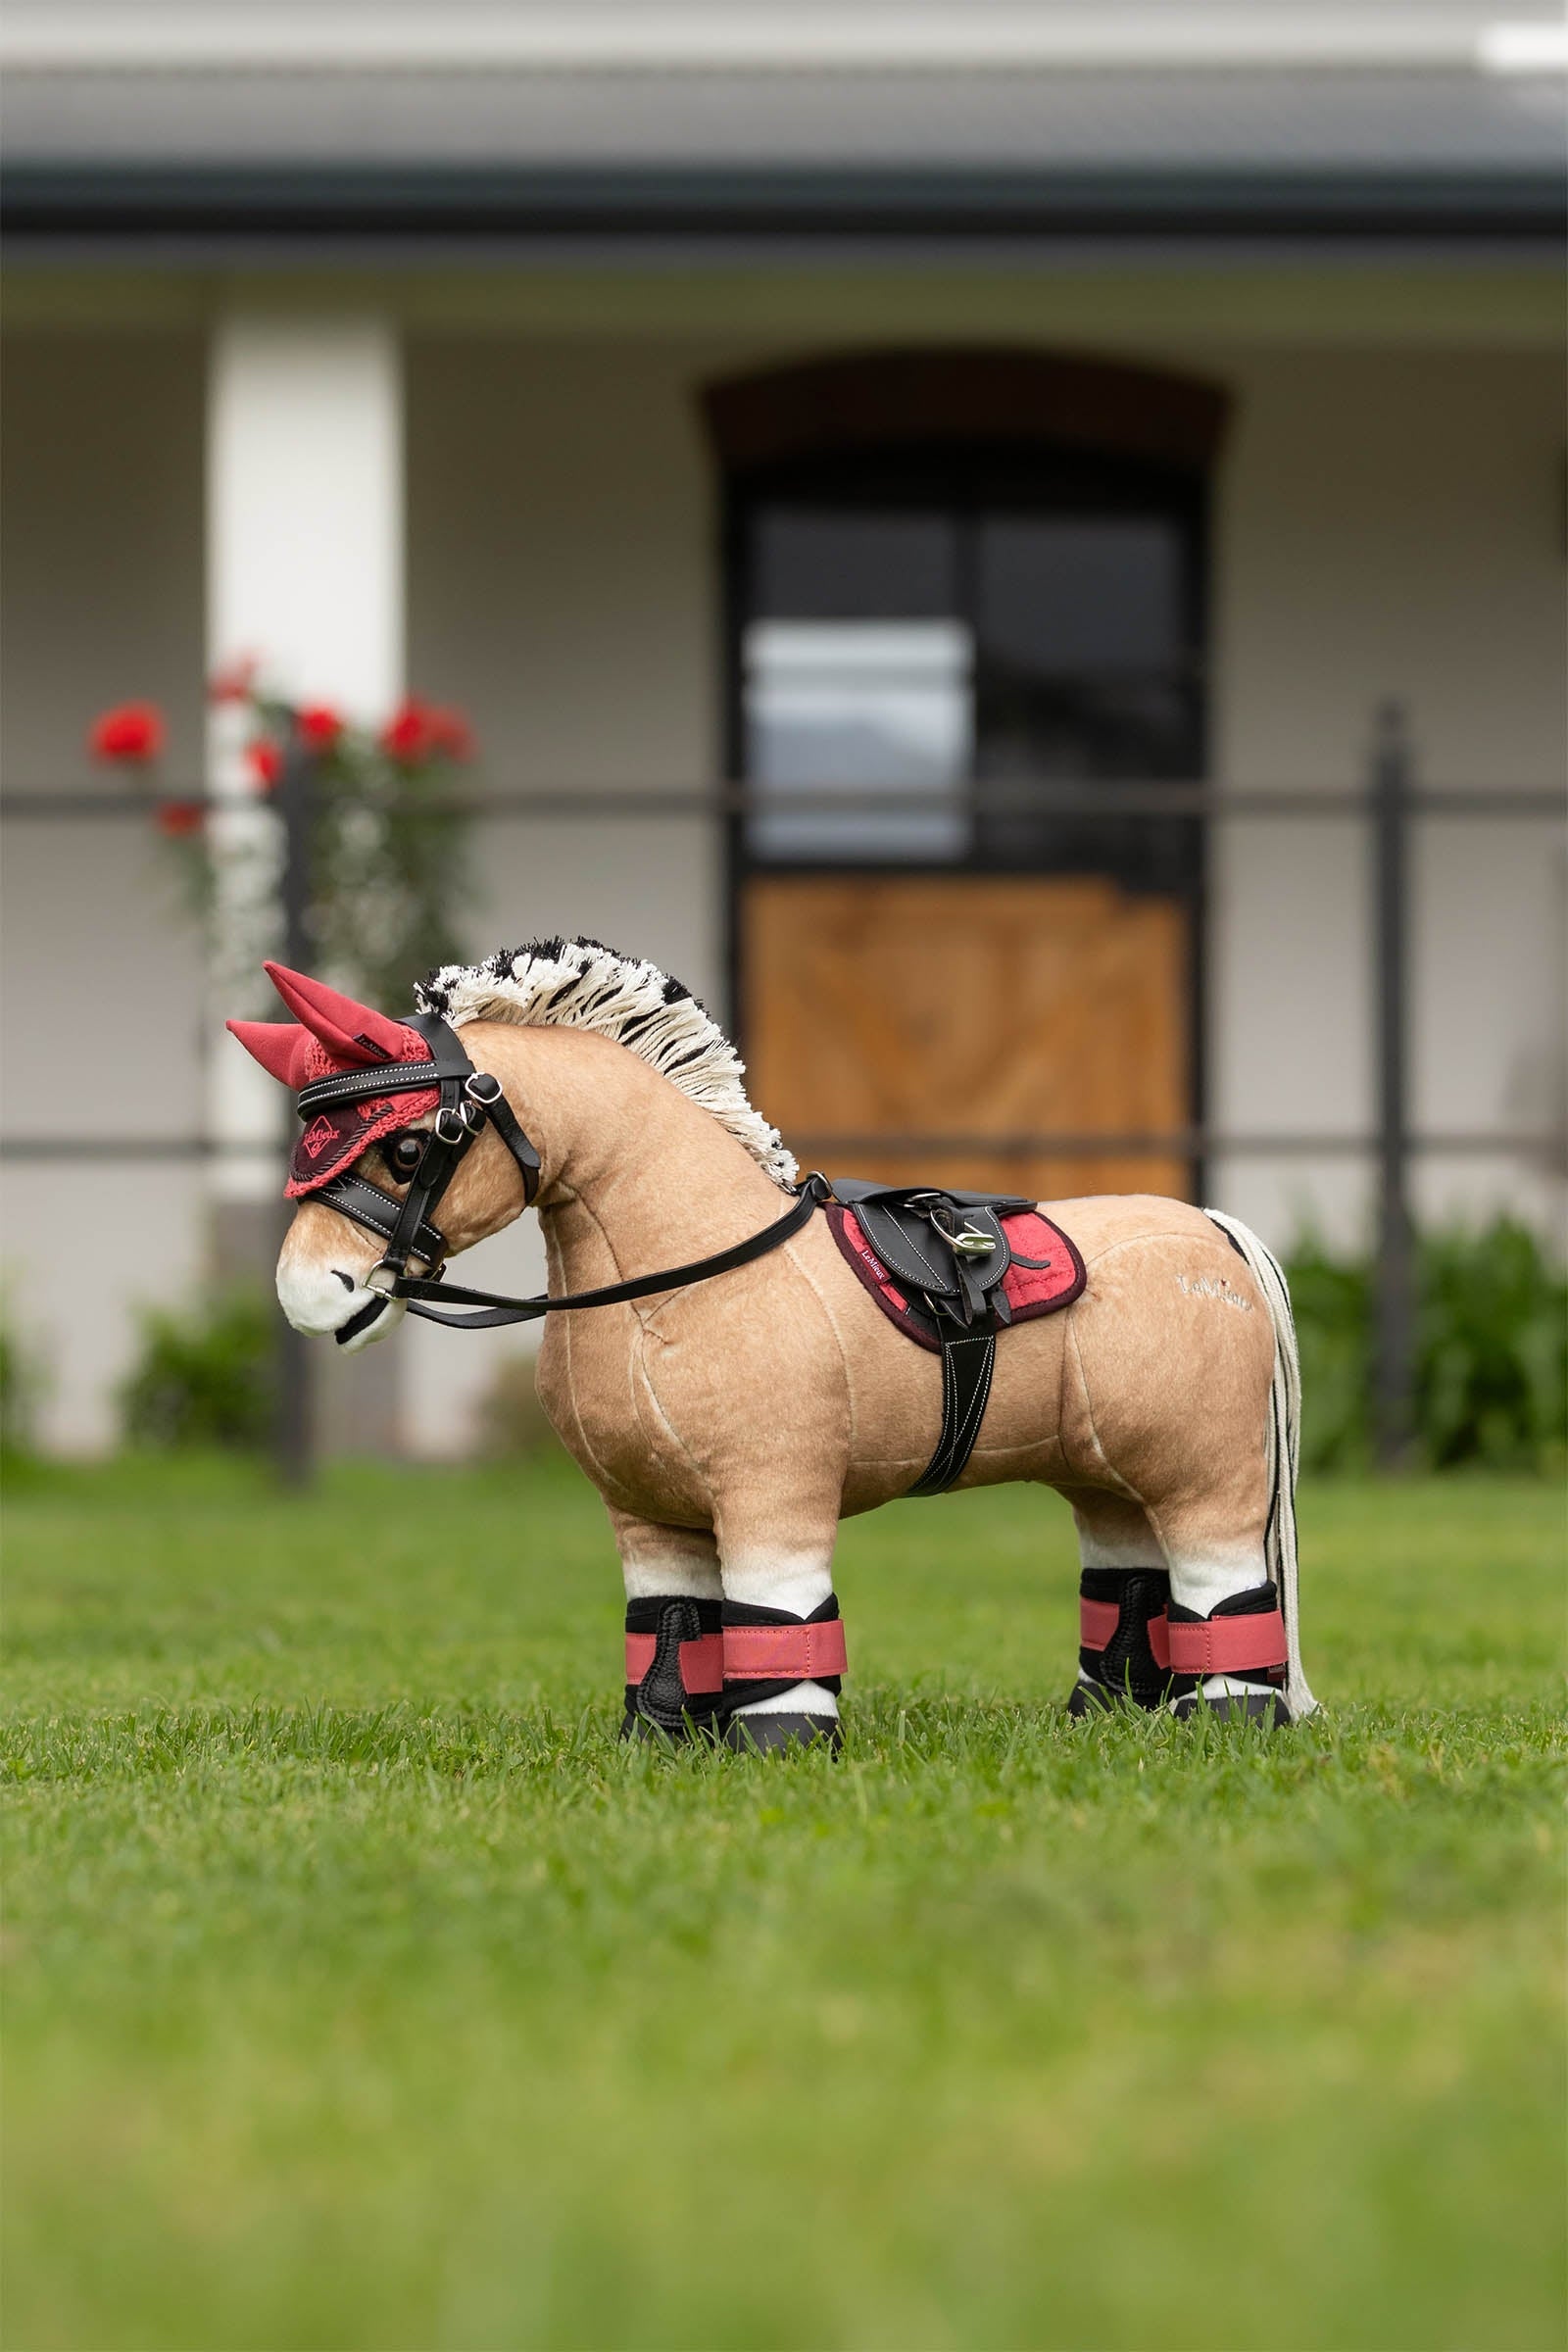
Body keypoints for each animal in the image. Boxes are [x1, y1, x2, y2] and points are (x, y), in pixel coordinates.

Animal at [230, 935, 1316, 1751]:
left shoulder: (773, 1491)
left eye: (409, 1145)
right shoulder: (648, 1514)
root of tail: (1214, 1230)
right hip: (1106, 1473)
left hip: (1208, 1474)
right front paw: (662, 1743)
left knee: (1222, 1585)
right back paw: (1104, 1721)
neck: (677, 1280)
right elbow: (667, 1625)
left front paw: (780, 1749)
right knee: (1127, 1578)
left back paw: (1227, 1726)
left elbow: (778, 1620)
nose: (308, 1294)